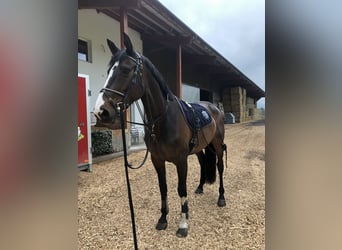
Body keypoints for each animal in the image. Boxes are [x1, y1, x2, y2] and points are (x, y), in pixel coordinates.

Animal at [93, 33, 227, 238]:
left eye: (125, 69)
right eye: (108, 71)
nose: (101, 110)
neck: (163, 120)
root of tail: (214, 108)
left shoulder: (181, 160)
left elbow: (180, 189)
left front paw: (183, 224)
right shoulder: (157, 160)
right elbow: (163, 188)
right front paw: (163, 219)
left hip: (218, 145)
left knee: (219, 167)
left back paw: (221, 197)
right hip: (199, 148)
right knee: (204, 162)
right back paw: (200, 187)